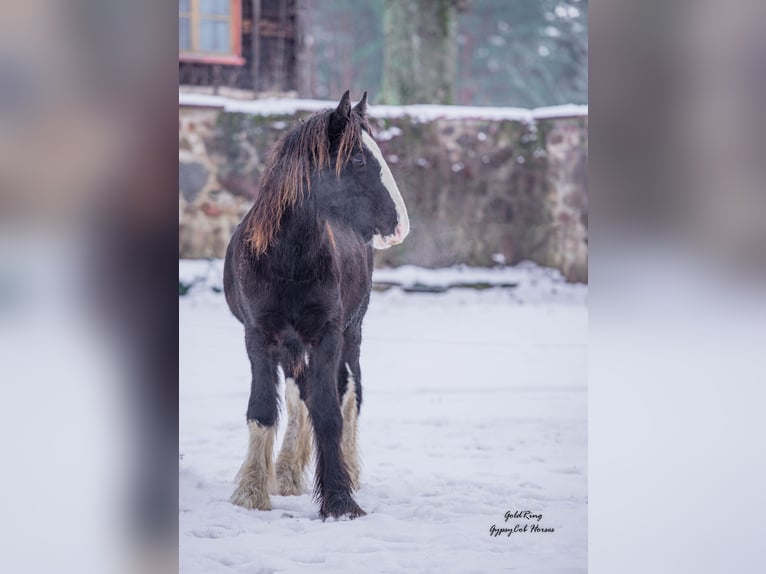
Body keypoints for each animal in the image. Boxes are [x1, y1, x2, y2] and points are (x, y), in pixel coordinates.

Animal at [222, 91, 412, 520]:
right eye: (357, 159)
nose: (400, 227)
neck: (287, 259)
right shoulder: (258, 338)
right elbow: (263, 409)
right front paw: (252, 491)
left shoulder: (328, 336)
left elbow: (328, 411)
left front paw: (340, 499)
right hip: (291, 346)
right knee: (297, 398)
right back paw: (287, 472)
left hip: (351, 335)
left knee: (349, 393)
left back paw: (347, 468)